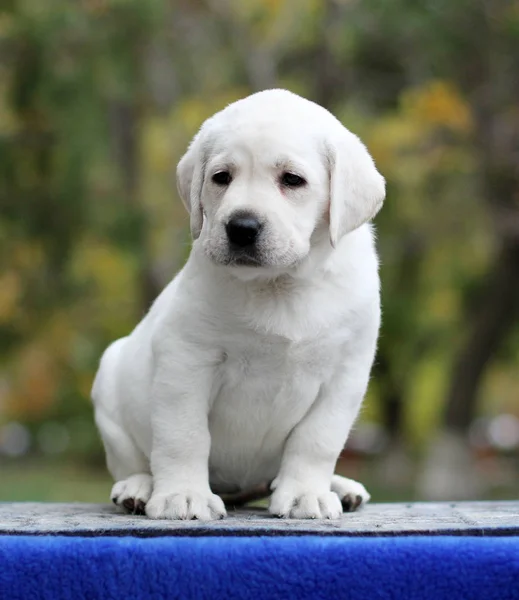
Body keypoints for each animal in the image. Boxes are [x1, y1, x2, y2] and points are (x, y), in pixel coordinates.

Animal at [92, 89, 386, 520]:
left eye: (292, 180)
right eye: (221, 177)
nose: (242, 227)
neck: (279, 284)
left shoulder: (345, 373)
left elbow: (317, 439)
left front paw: (306, 493)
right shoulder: (187, 360)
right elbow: (184, 435)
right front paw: (183, 495)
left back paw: (340, 486)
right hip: (110, 385)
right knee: (132, 460)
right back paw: (140, 487)